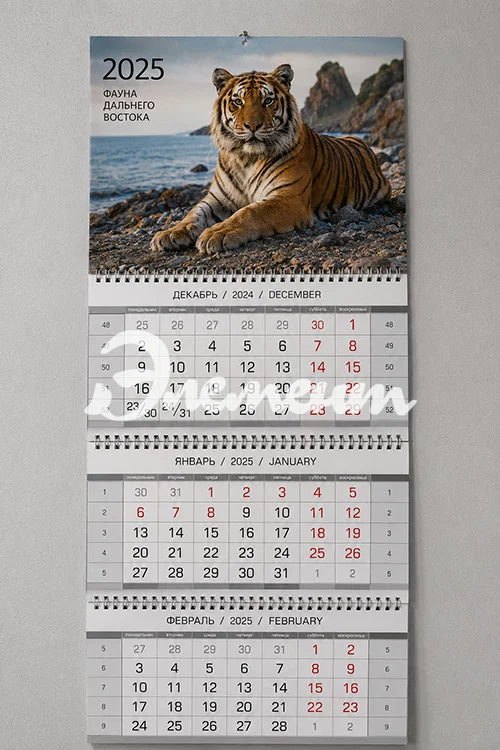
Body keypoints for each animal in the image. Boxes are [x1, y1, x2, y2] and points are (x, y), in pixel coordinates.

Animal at [151, 64, 391, 256]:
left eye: (268, 101)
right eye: (238, 101)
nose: (253, 126)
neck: (246, 159)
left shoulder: (288, 197)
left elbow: (249, 212)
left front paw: (218, 233)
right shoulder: (218, 199)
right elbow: (193, 213)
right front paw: (170, 233)